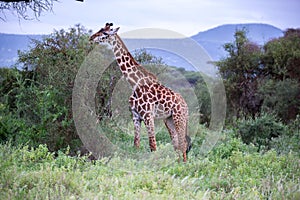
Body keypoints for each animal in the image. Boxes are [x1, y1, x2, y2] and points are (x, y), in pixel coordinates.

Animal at [89, 24, 192, 162]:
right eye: (100, 29)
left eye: (105, 33)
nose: (91, 37)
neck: (135, 83)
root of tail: (185, 104)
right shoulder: (135, 116)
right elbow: (136, 144)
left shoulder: (148, 116)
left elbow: (153, 145)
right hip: (168, 119)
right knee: (176, 143)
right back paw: (177, 163)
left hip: (179, 117)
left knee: (182, 143)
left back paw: (183, 164)